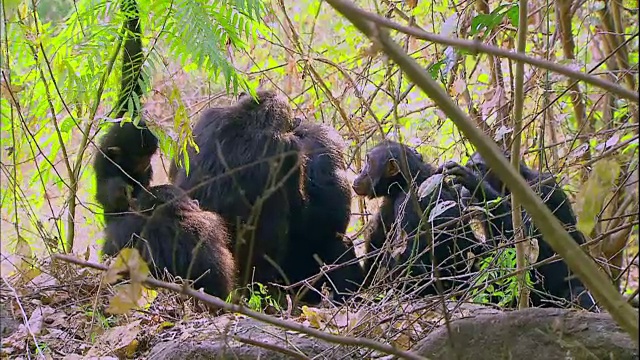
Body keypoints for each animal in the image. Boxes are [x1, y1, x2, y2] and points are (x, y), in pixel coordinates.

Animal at [438, 152, 596, 310]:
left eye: (478, 168)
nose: (462, 187)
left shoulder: (544, 188)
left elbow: (541, 246)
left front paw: (476, 183)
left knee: (578, 294)